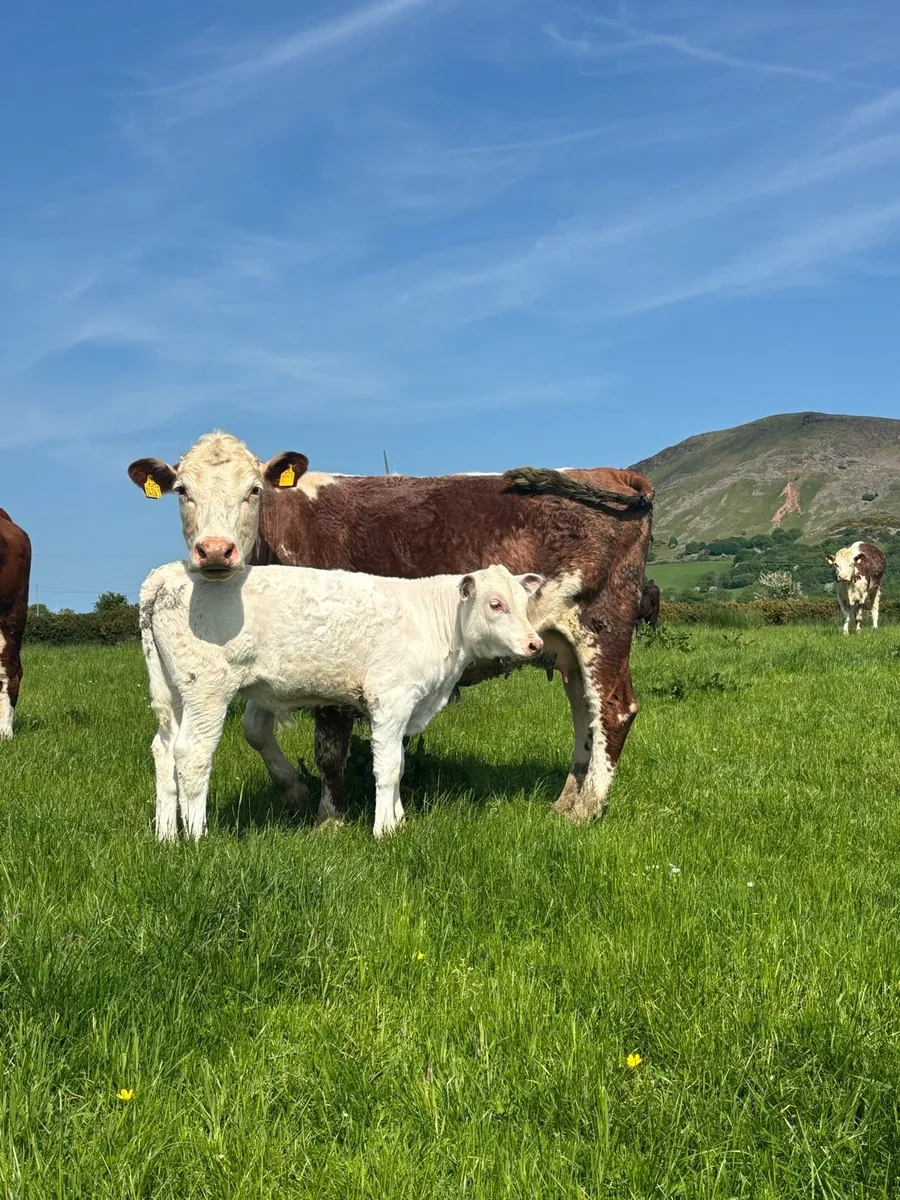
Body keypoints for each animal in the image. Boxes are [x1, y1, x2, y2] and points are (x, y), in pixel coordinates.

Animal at [140, 561, 545, 839]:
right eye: (495, 604)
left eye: (525, 602)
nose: (535, 643)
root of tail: (172, 572)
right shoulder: (391, 698)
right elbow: (387, 767)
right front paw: (384, 830)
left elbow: (399, 763)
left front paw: (399, 819)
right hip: (207, 690)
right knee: (192, 754)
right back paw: (197, 836)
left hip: (174, 692)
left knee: (164, 750)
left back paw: (167, 836)